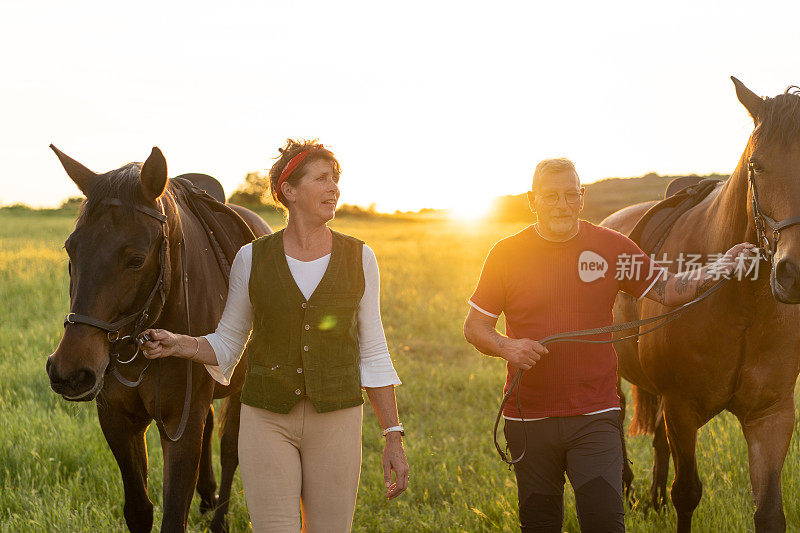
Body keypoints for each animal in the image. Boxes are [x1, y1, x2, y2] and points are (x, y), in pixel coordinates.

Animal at [45, 147, 270, 532]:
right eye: (70, 250)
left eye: (136, 259)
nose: (71, 372)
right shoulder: (118, 421)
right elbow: (139, 509)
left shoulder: (180, 424)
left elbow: (174, 513)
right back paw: (207, 497)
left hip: (240, 389)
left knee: (230, 449)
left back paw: (220, 518)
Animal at [604, 77, 800, 528]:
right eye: (756, 166)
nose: (795, 272)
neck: (744, 306)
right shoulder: (683, 408)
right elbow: (688, 494)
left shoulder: (772, 416)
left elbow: (769, 511)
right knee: (616, 417)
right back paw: (626, 490)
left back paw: (653, 498)